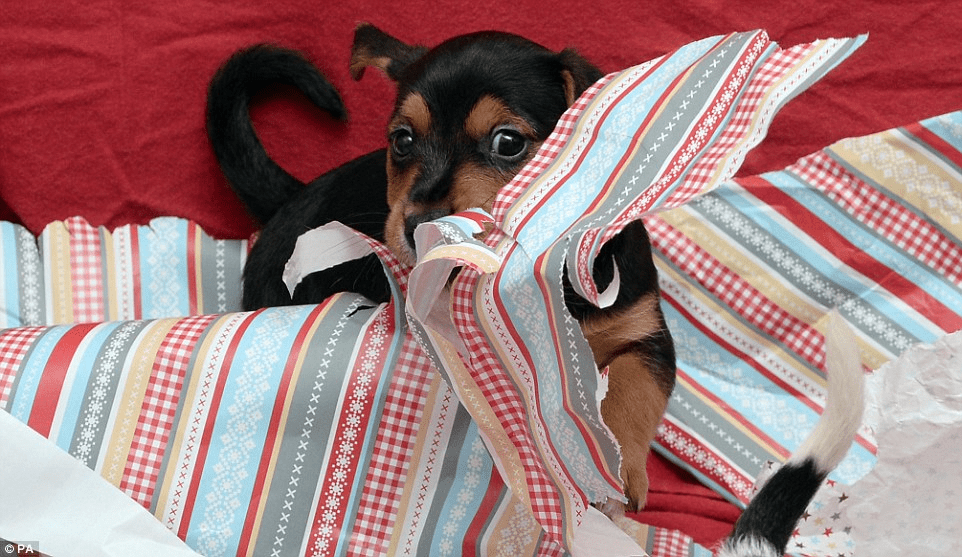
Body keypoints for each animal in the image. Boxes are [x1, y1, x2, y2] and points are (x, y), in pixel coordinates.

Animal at [206, 22, 672, 508]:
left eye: (508, 142)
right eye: (402, 140)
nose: (420, 226)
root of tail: (290, 200)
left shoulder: (642, 329)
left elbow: (634, 388)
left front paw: (618, 471)